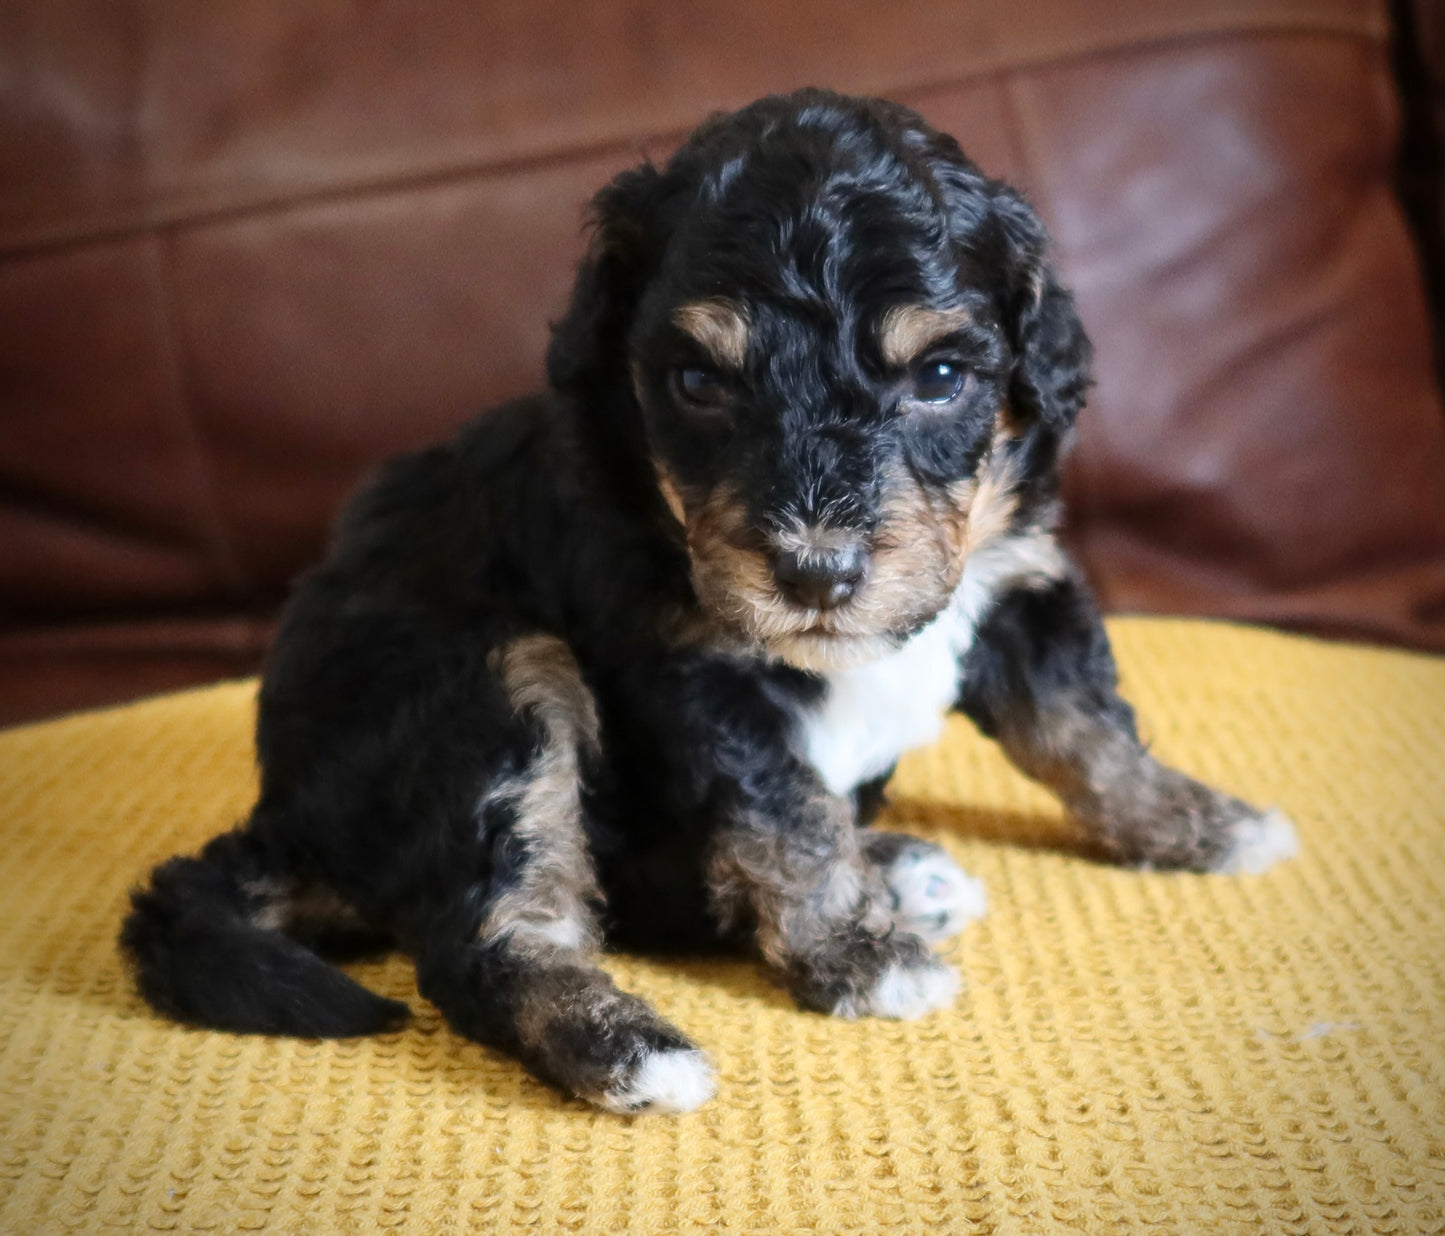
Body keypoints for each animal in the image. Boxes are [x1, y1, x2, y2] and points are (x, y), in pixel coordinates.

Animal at [124, 87, 1300, 1110]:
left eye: (938, 379)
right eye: (698, 384)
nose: (816, 572)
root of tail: (287, 816)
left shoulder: (1015, 584)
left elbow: (1084, 729)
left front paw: (1199, 822)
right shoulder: (695, 669)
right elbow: (784, 817)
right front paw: (856, 952)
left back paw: (900, 867)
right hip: (491, 682)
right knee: (490, 936)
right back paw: (631, 1049)